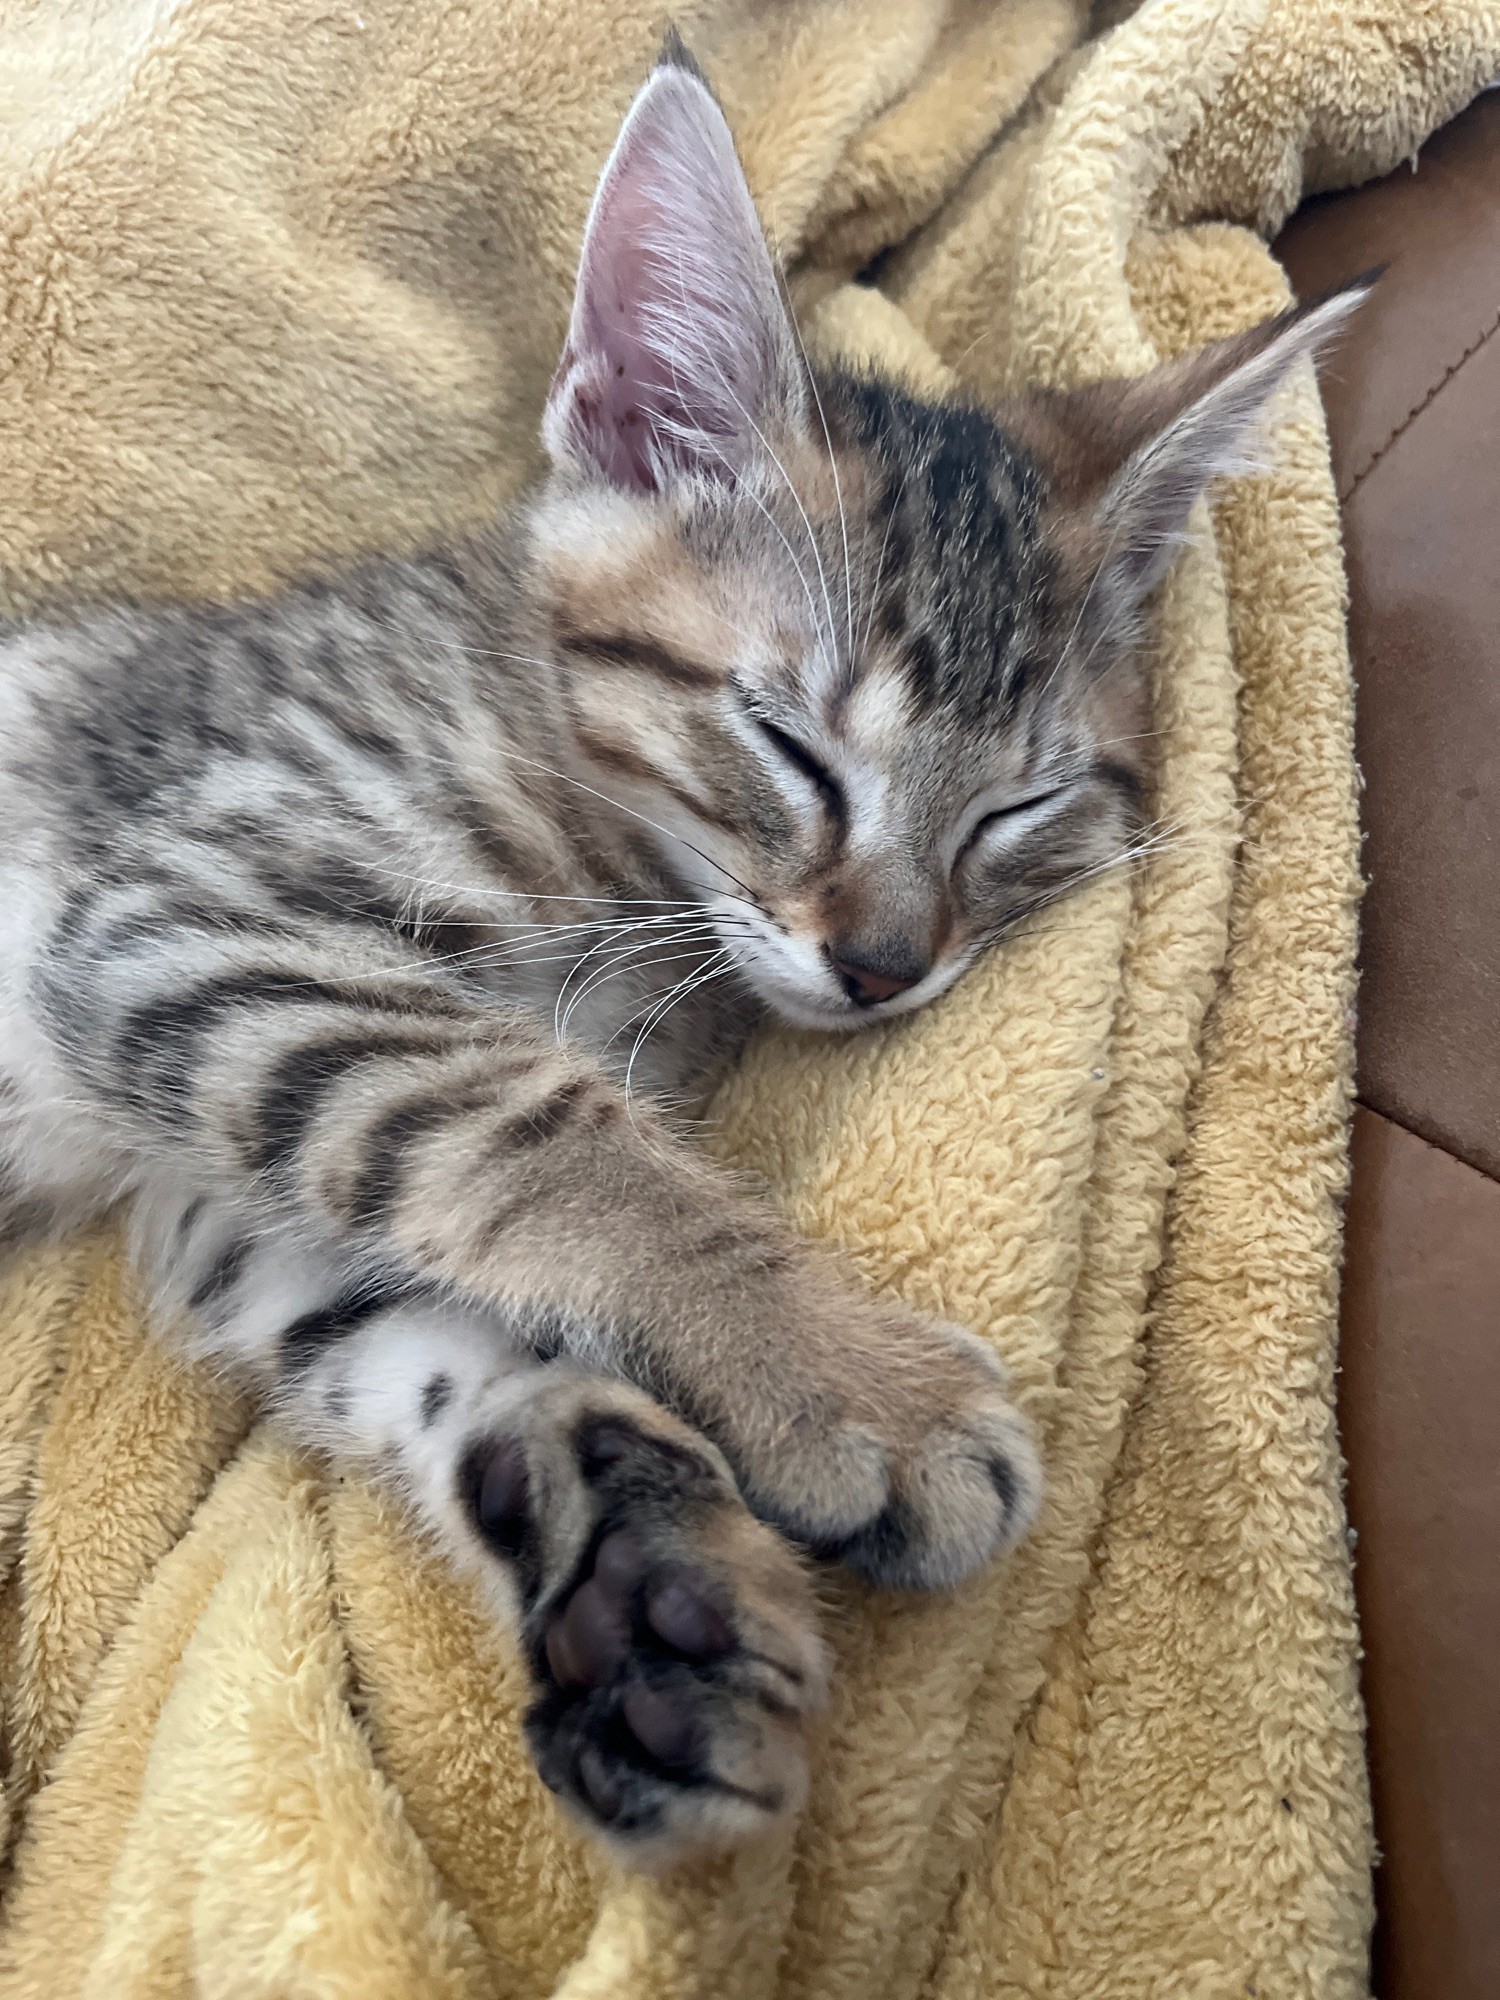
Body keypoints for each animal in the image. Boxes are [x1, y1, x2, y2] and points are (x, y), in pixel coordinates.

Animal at [0, 39, 1368, 1864]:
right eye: (790, 749)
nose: (886, 966)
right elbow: (543, 1135)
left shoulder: (228, 1182)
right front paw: (854, 1384)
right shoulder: (188, 908)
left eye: (1021, 809)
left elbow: (445, 1335)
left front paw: (638, 1567)